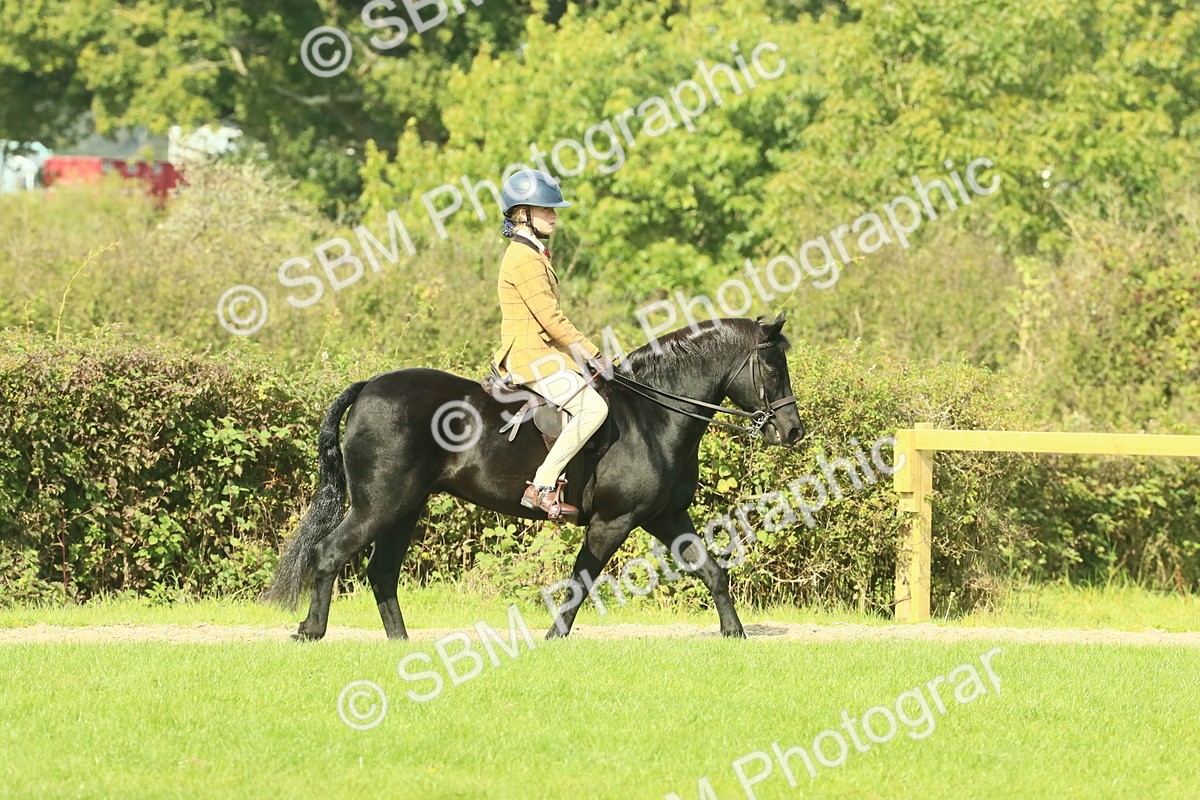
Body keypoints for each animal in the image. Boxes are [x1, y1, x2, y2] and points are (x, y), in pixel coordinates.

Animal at [265, 313, 804, 640]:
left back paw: (398, 641)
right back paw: (311, 631)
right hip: (380, 504)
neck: (654, 415)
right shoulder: (614, 521)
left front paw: (733, 633)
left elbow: (711, 570)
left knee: (380, 572)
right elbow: (582, 580)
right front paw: (553, 638)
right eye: (771, 367)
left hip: (405, 508)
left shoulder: (665, 516)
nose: (793, 430)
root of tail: (369, 387)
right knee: (330, 552)